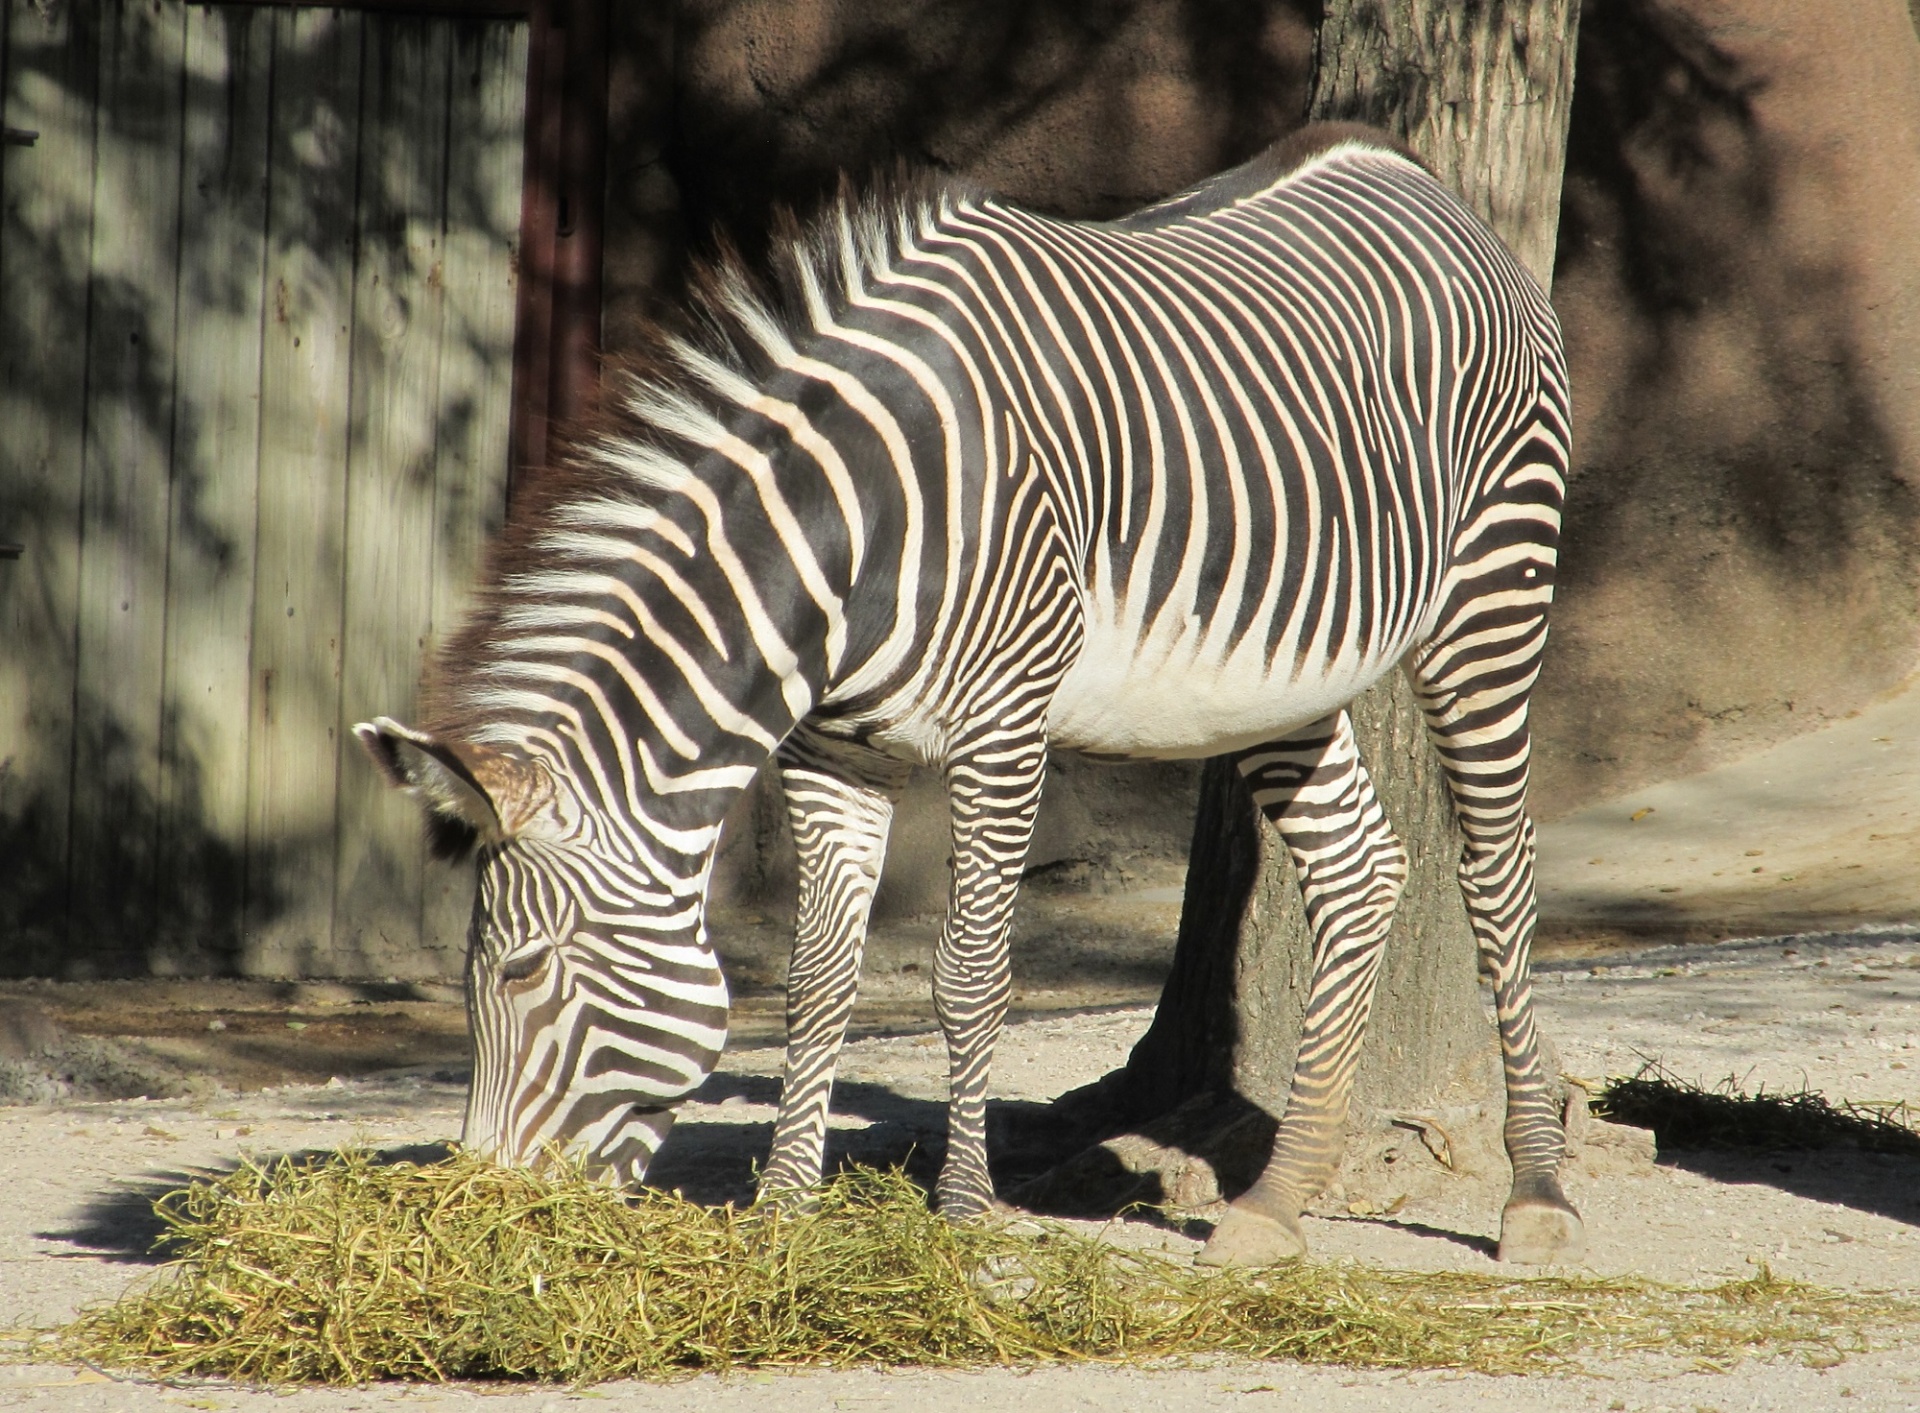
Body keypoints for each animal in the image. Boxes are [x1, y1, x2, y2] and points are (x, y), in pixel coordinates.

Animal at [360, 123, 1589, 1267]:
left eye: (520, 970)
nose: (483, 1205)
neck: (851, 543)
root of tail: (1411, 174)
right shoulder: (832, 754)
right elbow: (817, 983)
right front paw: (786, 1211)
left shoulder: (1004, 730)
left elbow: (970, 976)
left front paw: (960, 1210)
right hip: (1278, 676)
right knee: (1361, 870)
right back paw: (1274, 1204)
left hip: (1493, 589)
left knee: (1499, 877)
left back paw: (1534, 1196)